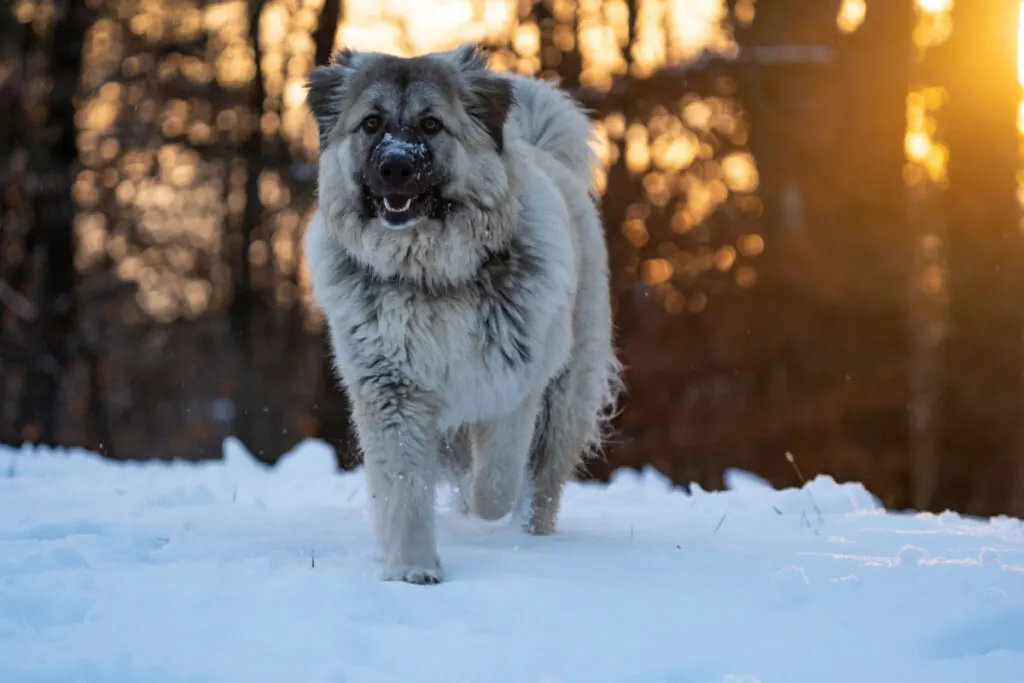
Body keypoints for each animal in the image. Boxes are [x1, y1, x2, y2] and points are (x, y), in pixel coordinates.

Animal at [301, 45, 622, 585]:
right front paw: (413, 568)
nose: (395, 167)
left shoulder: (515, 388)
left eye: (431, 124)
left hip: (566, 400)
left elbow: (497, 484)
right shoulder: (392, 394)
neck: (431, 278)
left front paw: (484, 509)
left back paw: (530, 537)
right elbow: (406, 488)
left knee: (541, 486)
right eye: (371, 123)